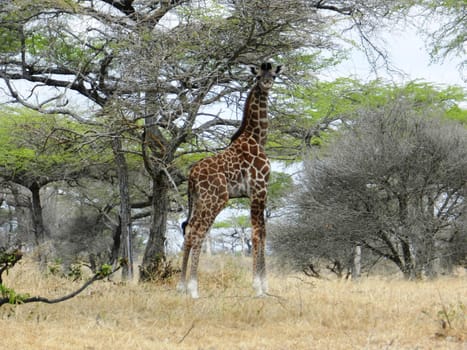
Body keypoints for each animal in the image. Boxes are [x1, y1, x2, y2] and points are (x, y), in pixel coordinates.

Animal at [178, 61, 282, 296]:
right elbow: (257, 233)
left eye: (273, 74)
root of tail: (191, 175)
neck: (258, 137)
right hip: (217, 198)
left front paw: (264, 285)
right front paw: (259, 287)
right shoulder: (260, 188)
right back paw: (194, 290)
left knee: (189, 230)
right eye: (258, 75)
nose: (266, 83)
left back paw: (181, 286)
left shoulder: (255, 192)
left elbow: (262, 232)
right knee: (198, 232)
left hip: (199, 200)